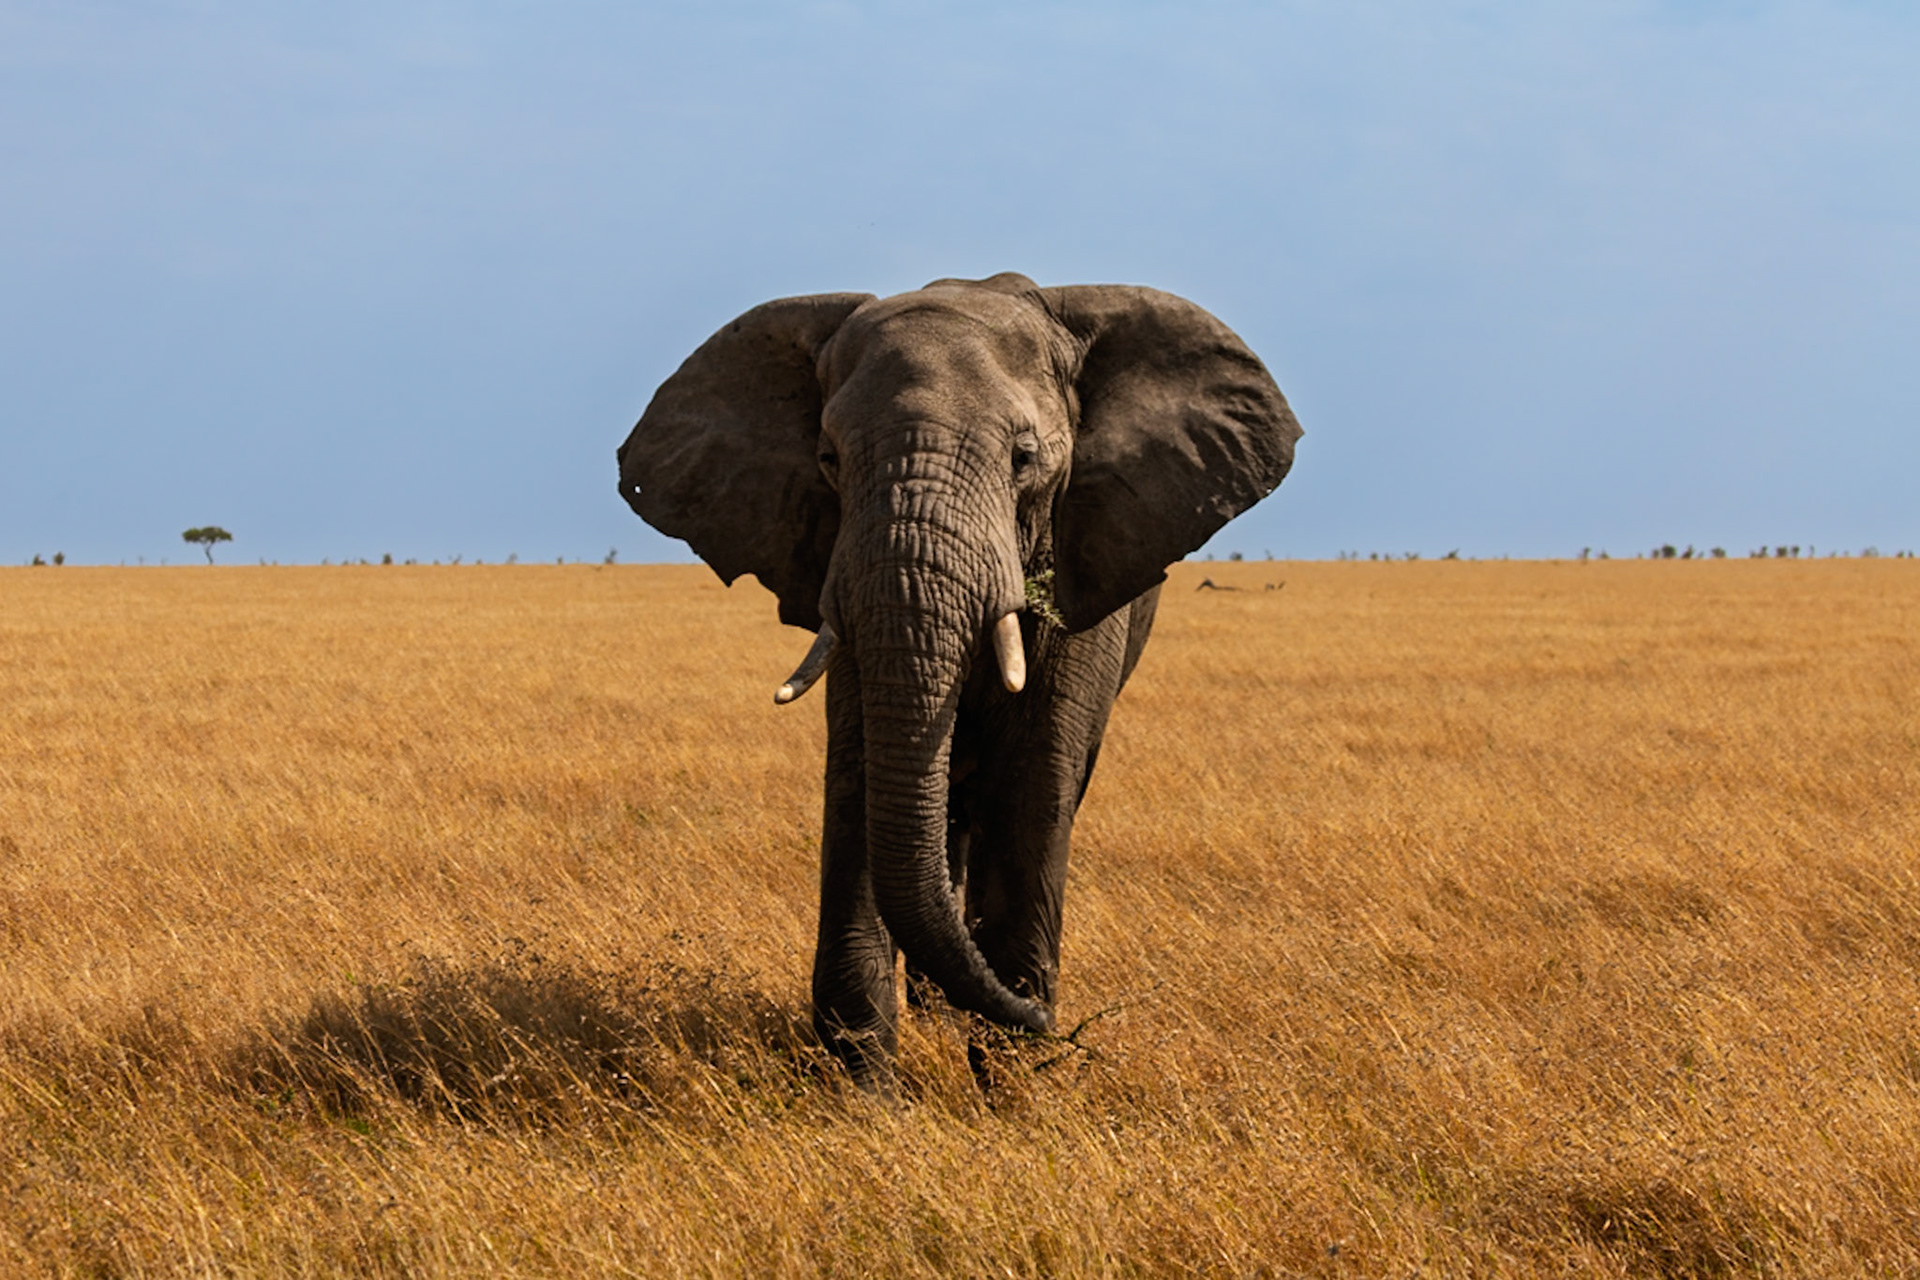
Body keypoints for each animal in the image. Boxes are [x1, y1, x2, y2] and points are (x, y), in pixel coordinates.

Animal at [616, 272, 1301, 1088]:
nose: (1052, 1020)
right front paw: (865, 1095)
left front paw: (1014, 1083)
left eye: (1024, 458)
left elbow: (1034, 783)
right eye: (828, 459)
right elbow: (860, 778)